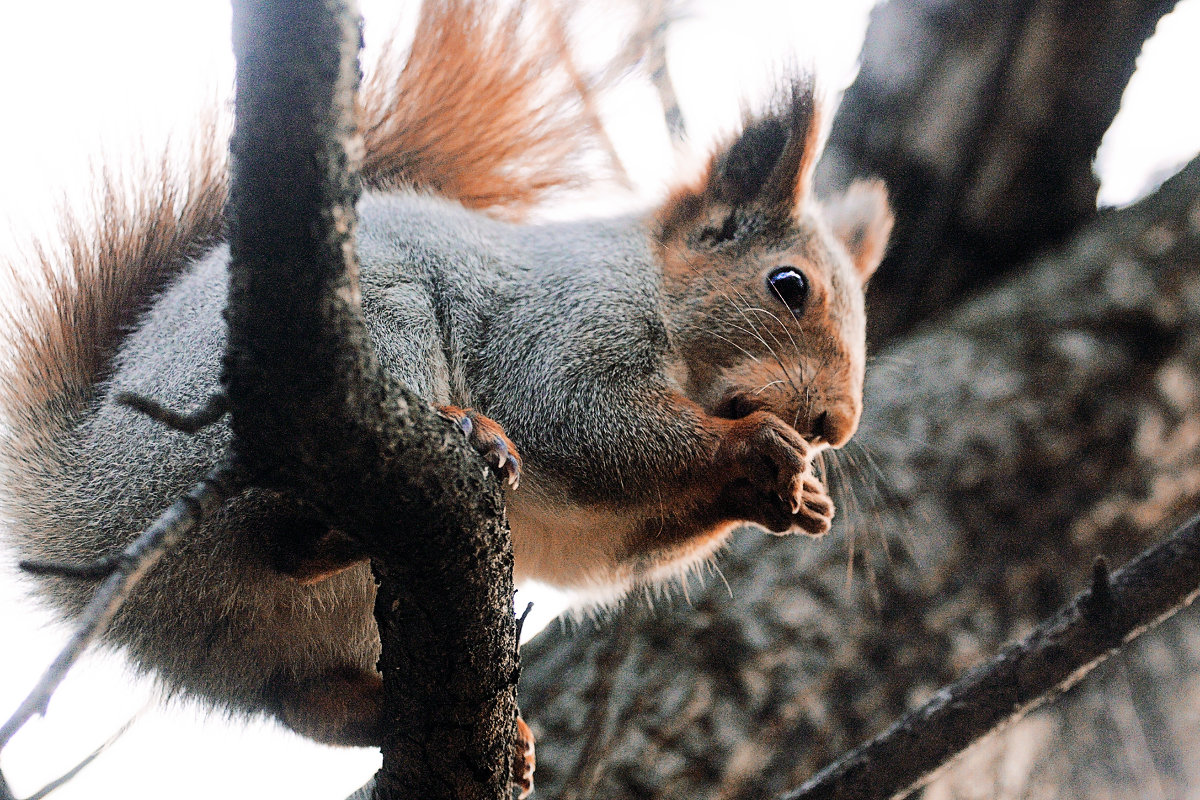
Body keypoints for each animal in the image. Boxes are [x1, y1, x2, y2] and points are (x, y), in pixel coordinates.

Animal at [0, 0, 892, 796]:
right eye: (788, 286)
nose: (835, 425)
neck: (653, 292)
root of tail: (83, 497)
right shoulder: (562, 332)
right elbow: (586, 425)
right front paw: (757, 449)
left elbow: (609, 541)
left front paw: (797, 497)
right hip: (365, 330)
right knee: (288, 532)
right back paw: (445, 449)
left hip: (261, 650)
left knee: (307, 697)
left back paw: (470, 730)